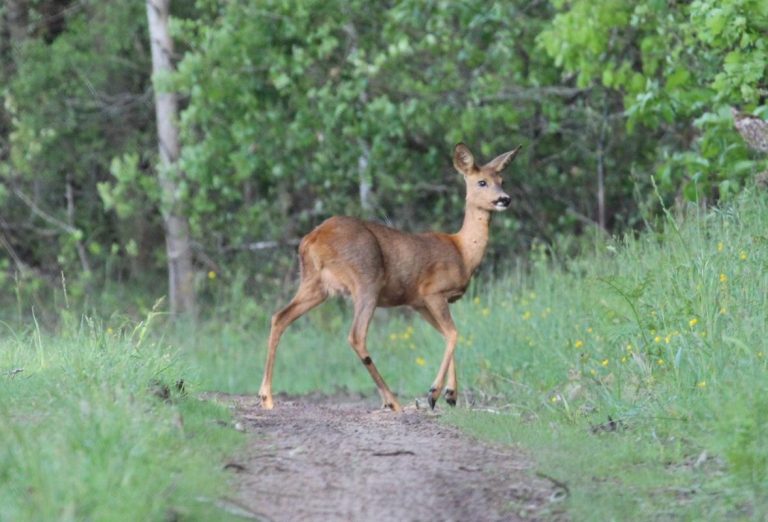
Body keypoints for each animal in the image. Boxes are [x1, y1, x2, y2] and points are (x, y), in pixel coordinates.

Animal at [260, 142, 520, 410]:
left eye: (502, 179)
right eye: (481, 182)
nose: (505, 199)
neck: (463, 251)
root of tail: (311, 239)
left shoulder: (418, 302)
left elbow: (447, 335)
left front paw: (451, 394)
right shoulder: (432, 291)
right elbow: (454, 333)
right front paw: (434, 393)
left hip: (315, 284)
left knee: (280, 317)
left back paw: (267, 396)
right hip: (367, 281)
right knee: (356, 336)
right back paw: (392, 401)